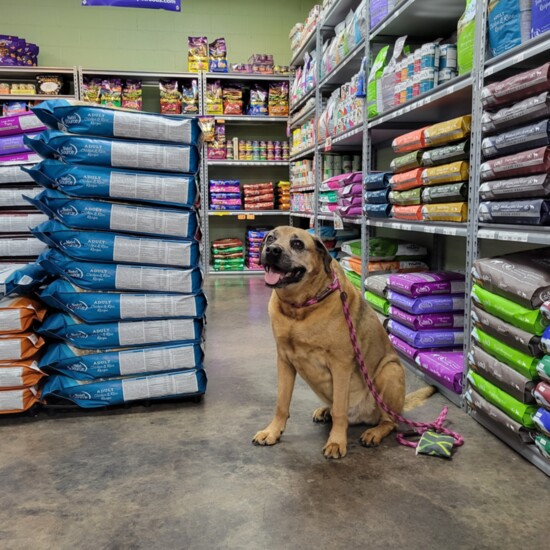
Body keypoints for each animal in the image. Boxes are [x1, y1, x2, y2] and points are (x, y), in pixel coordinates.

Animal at [254, 226, 436, 460]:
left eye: (297, 244)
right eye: (270, 238)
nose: (272, 250)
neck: (300, 309)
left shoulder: (340, 365)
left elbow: (340, 410)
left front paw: (336, 442)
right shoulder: (284, 361)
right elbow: (281, 404)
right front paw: (273, 432)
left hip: (390, 372)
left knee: (389, 421)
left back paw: (375, 432)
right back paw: (325, 410)